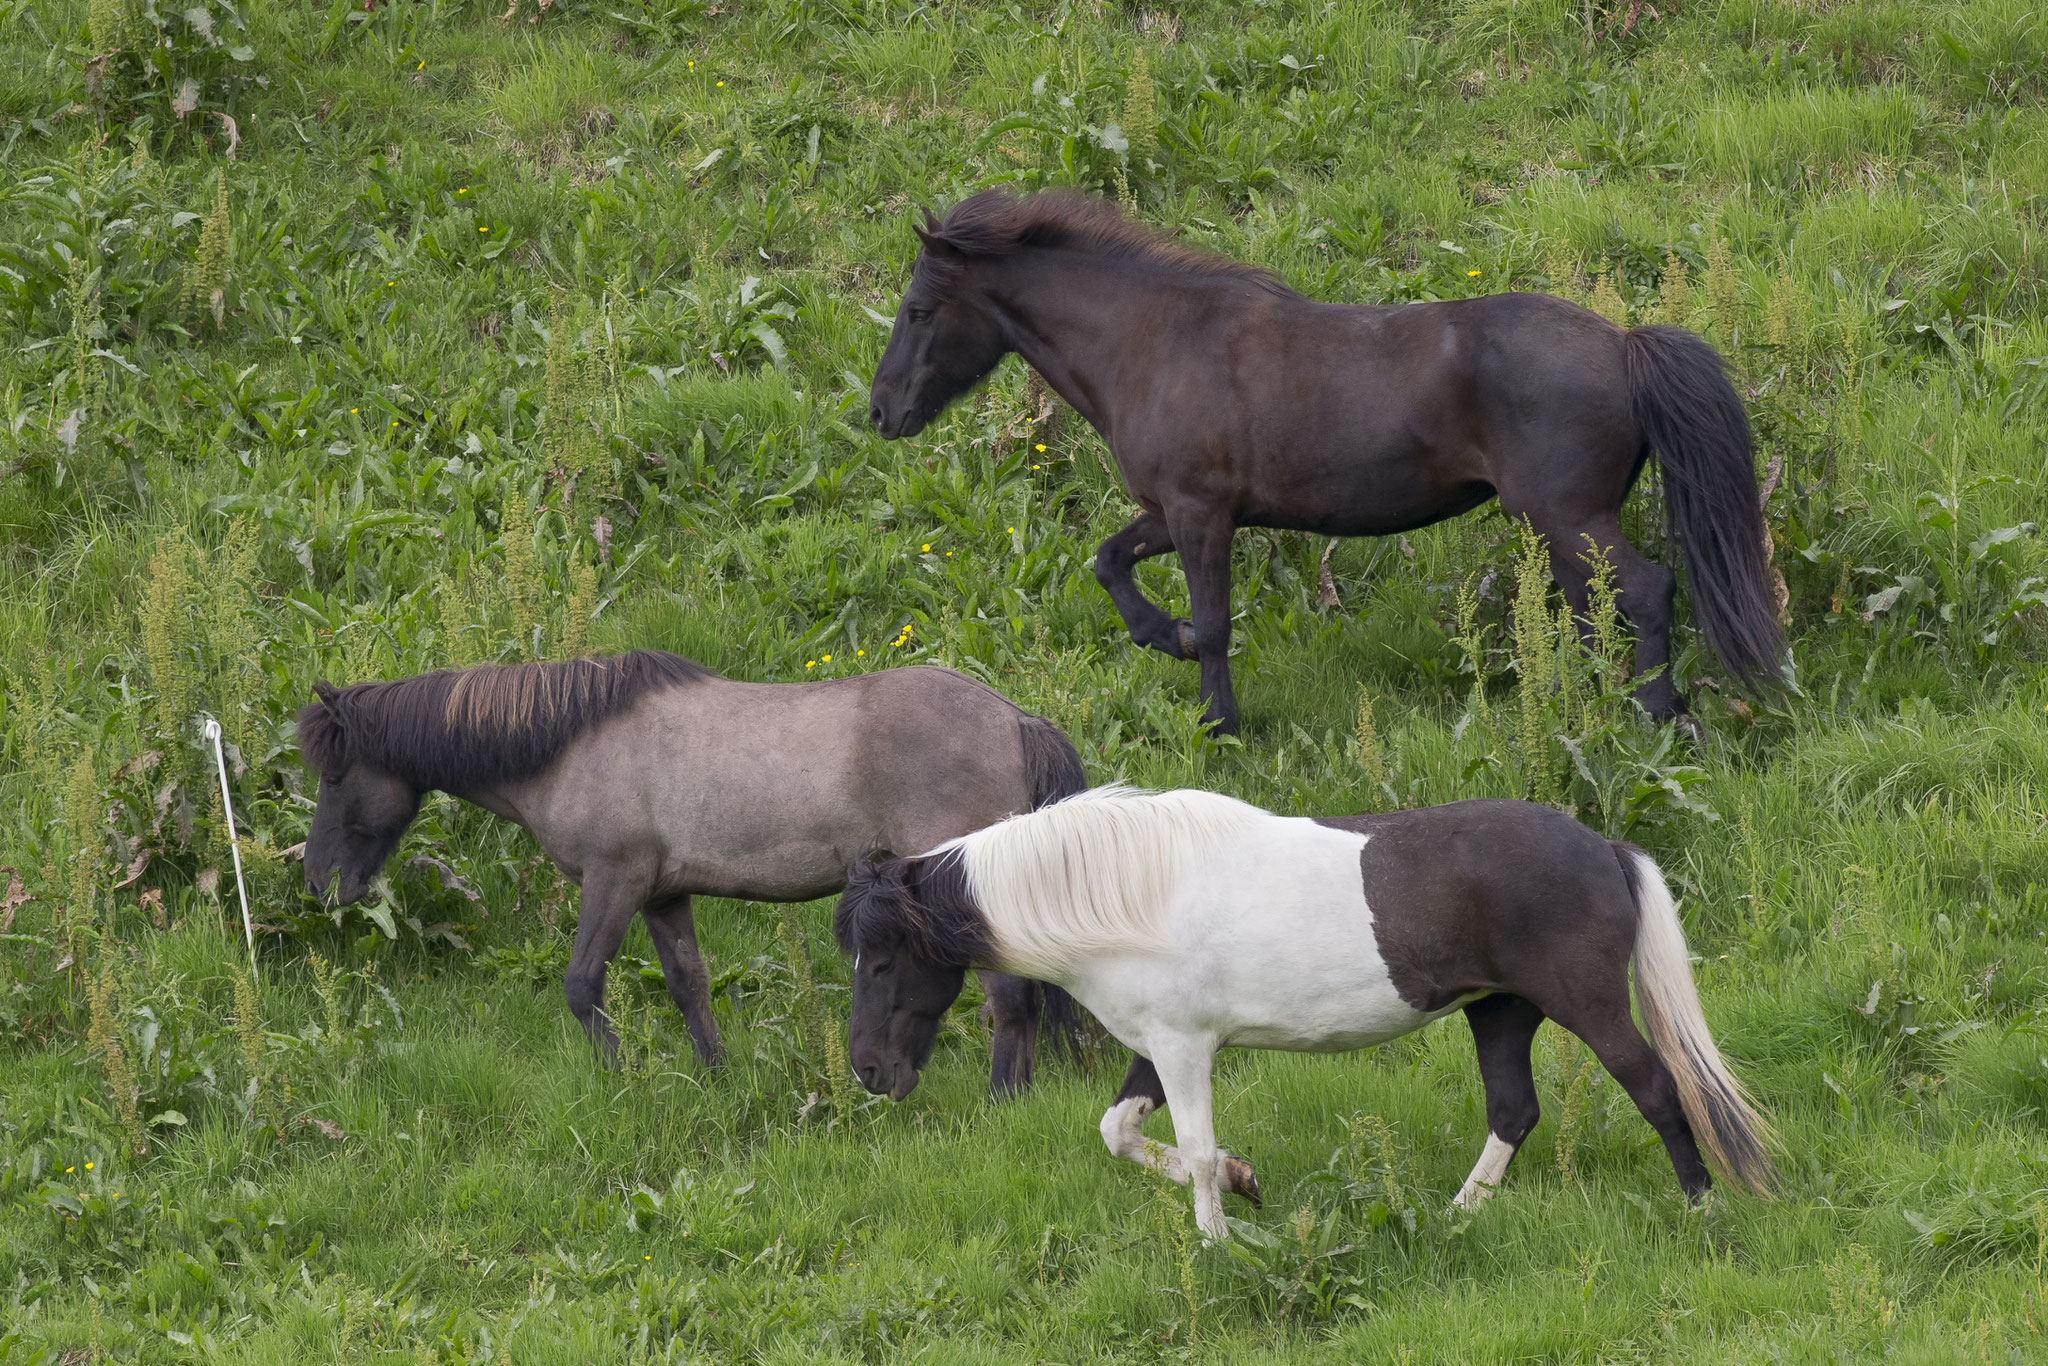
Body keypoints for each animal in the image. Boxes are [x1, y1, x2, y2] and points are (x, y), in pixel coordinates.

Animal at [299, 655, 1089, 1097]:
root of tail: (1016, 720)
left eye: (335, 776)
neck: (574, 740)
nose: (319, 883)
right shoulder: (662, 895)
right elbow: (689, 987)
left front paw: (627, 1083)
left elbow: (582, 986)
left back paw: (1003, 1101)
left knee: (1011, 996)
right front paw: (715, 1082)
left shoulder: (613, 881)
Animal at [831, 786, 1777, 1245]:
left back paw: (1703, 1211)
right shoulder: (1158, 1048)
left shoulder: (1185, 1049)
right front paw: (1244, 1185)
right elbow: (1121, 1133)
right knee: (1515, 1112)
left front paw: (1217, 1248)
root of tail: (1602, 847)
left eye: (881, 959)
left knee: (1660, 1091)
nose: (870, 1071)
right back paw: (1455, 1218)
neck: (1126, 895)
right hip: (1500, 1014)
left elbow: (1195, 1152)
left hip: (1585, 1007)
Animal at [864, 189, 1777, 737]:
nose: (881, 412)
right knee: (1596, 609)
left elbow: (1215, 623)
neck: (1155, 342)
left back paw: (1652, 714)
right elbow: (1109, 561)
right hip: (1564, 528)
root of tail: (1624, 345)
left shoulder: (1200, 515)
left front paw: (1218, 724)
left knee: (1645, 593)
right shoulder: (1169, 513)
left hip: (1566, 517)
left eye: (919, 309)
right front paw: (1163, 639)